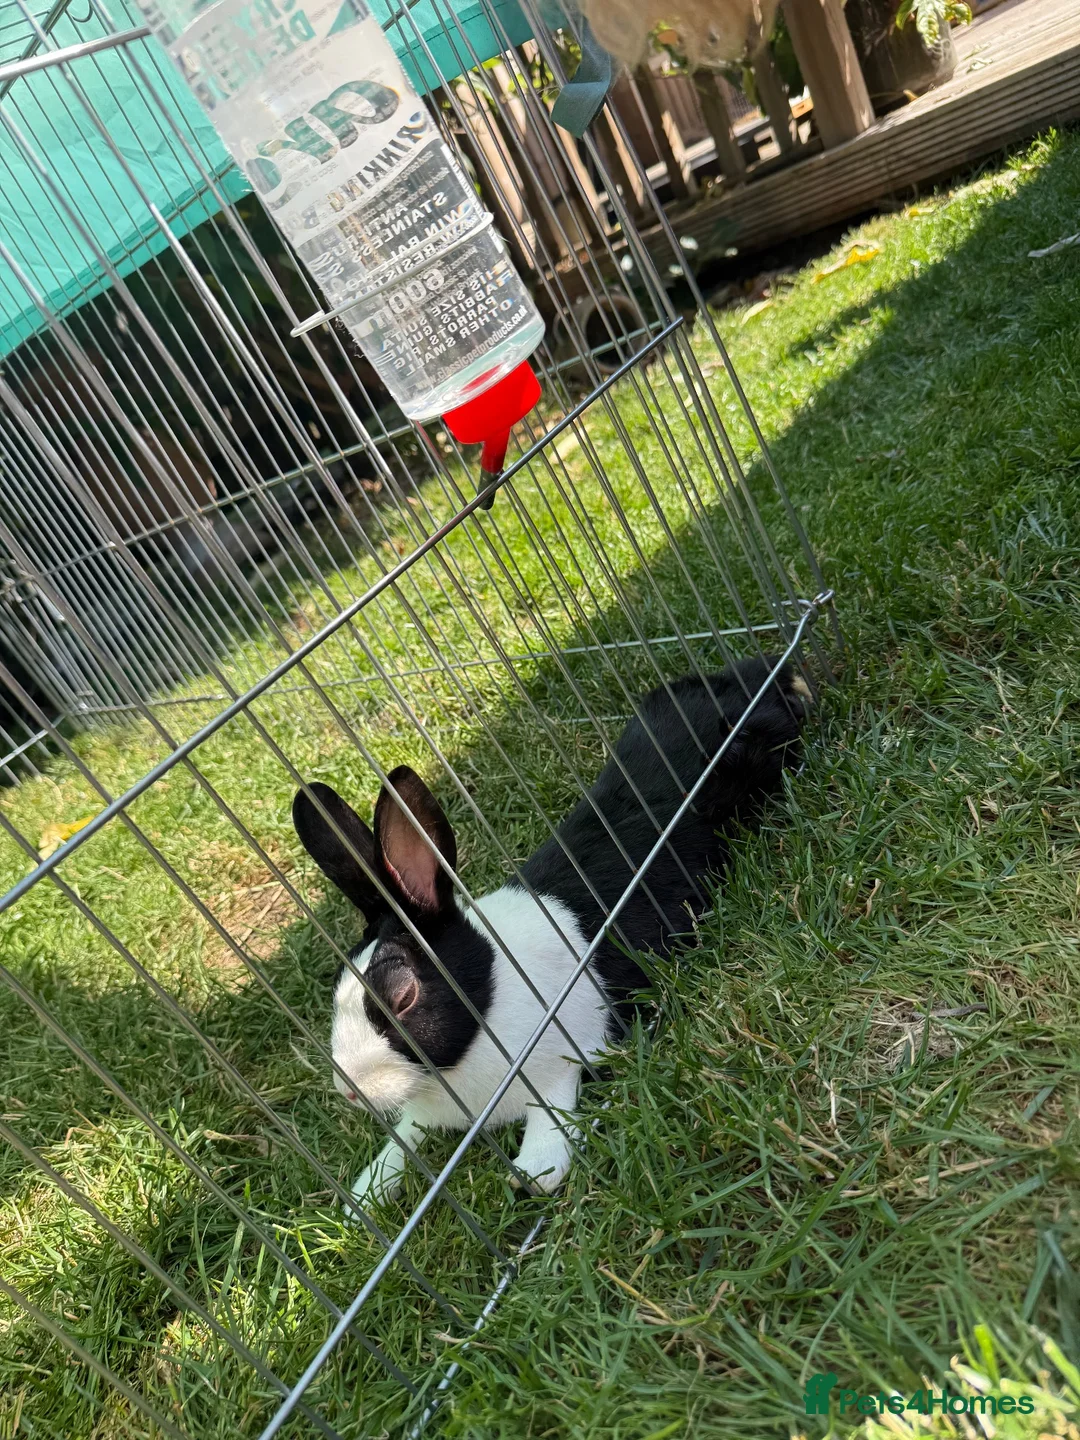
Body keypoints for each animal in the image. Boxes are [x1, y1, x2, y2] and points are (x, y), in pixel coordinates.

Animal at [292, 654, 811, 1212]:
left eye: (403, 997)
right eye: (336, 989)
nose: (349, 1091)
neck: (492, 998)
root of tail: (745, 676)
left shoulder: (562, 1060)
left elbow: (552, 1118)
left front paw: (530, 1174)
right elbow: (404, 1140)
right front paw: (363, 1196)